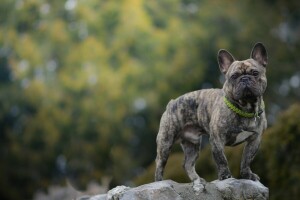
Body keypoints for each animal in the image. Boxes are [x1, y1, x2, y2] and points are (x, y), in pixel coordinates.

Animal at [155, 42, 268, 191]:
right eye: (234, 76)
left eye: (255, 73)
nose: (244, 79)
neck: (246, 108)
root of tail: (172, 102)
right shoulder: (217, 139)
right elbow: (221, 159)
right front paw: (225, 176)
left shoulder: (255, 139)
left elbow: (246, 159)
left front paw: (247, 175)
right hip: (166, 142)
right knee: (160, 163)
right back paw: (159, 183)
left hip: (192, 145)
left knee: (188, 164)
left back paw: (197, 181)